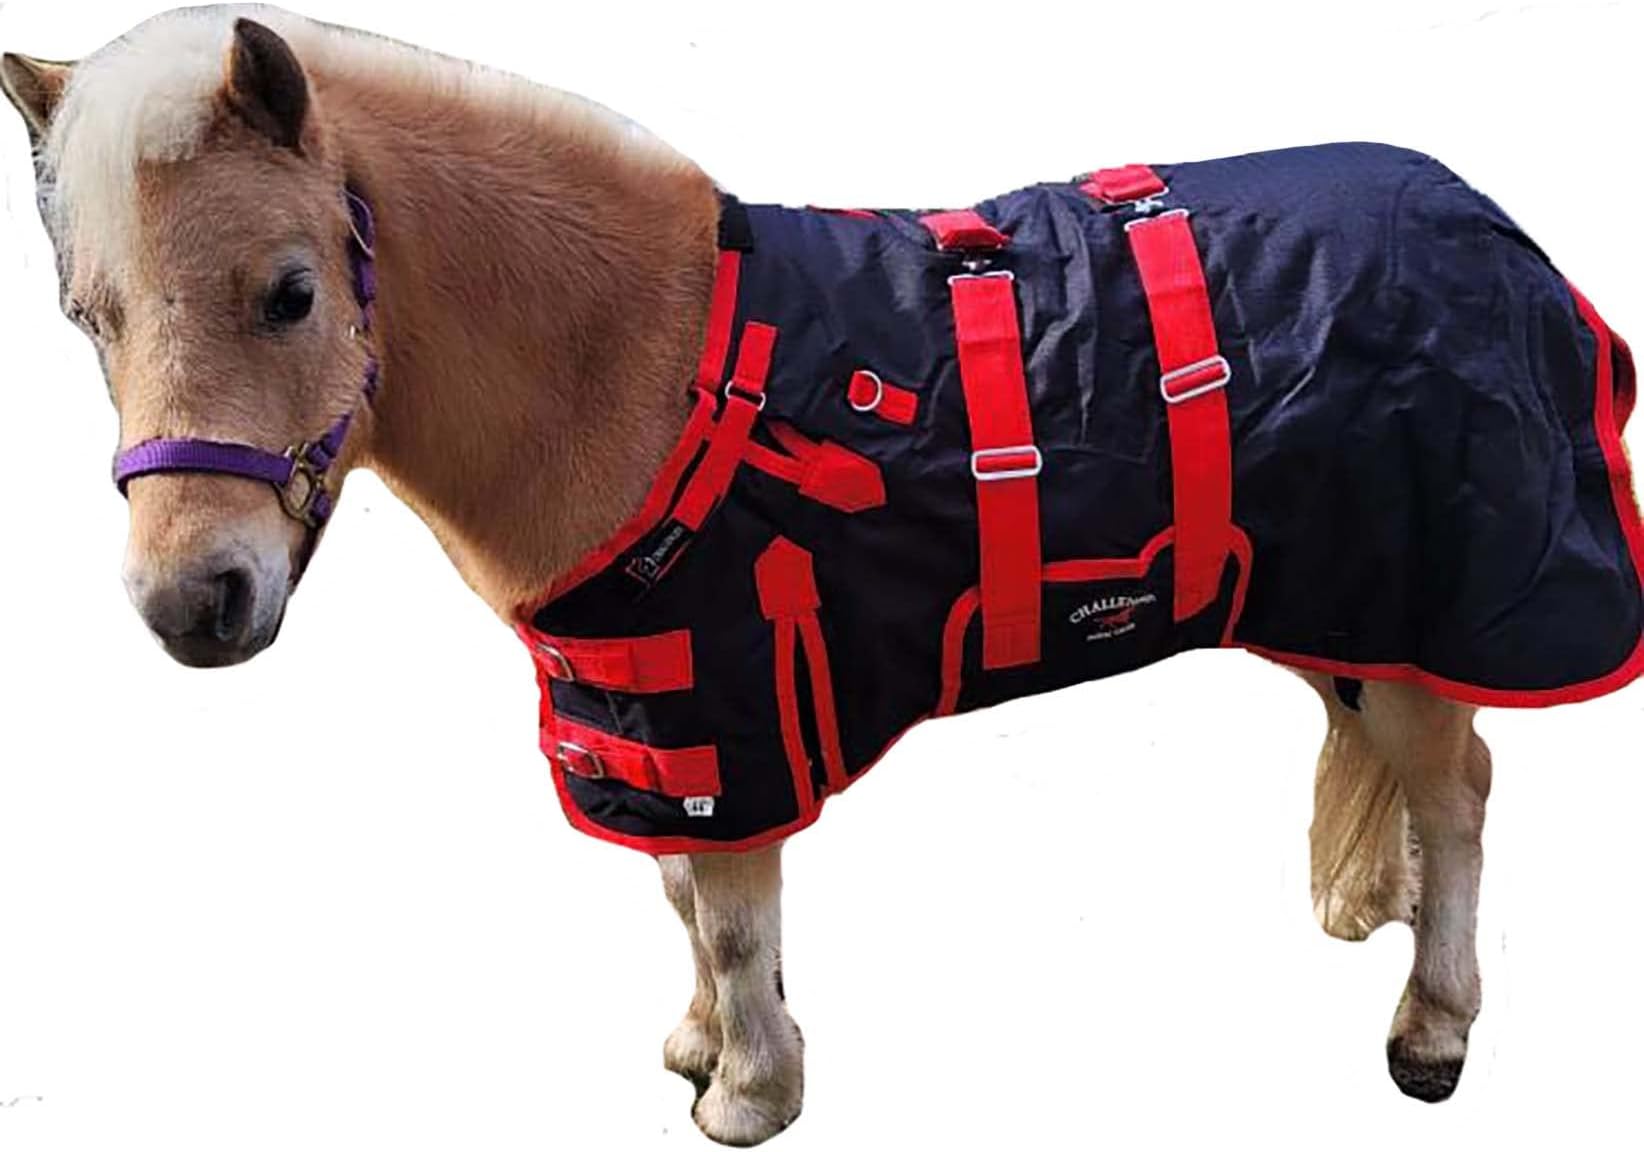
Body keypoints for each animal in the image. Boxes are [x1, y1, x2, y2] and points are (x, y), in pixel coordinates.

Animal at [2, 6, 1639, 1146]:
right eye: (88, 316)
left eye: (289, 293)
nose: (191, 602)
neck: (644, 370)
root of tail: (1498, 229)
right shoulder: (654, 721)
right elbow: (680, 898)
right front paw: (700, 1042)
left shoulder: (730, 704)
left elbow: (729, 913)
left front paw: (749, 1092)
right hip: (1341, 599)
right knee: (1406, 754)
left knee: (1459, 786)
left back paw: (1433, 1028)